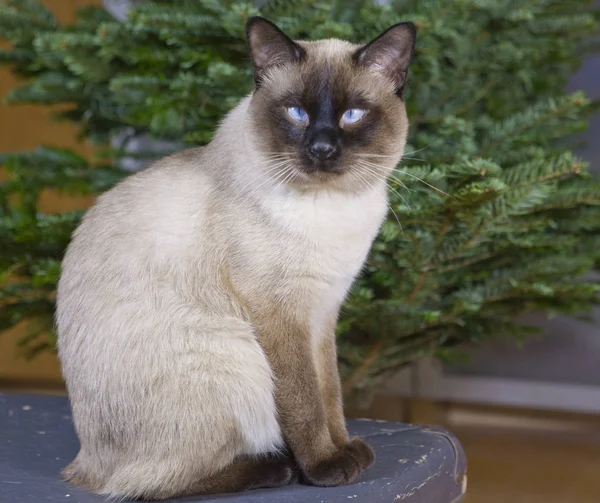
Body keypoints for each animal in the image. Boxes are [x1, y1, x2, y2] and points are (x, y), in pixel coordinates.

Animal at [56, 14, 414, 500]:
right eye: (297, 113)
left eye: (352, 115)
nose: (321, 149)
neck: (332, 210)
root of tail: (82, 463)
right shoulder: (279, 313)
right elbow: (304, 399)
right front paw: (325, 465)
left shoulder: (323, 312)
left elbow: (330, 390)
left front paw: (345, 448)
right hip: (233, 354)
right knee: (141, 483)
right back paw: (277, 466)